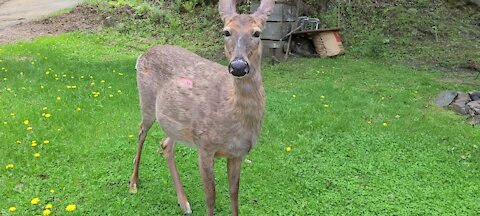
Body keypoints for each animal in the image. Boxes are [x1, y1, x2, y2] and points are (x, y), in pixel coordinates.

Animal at [129, 0, 276, 214]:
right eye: (226, 32)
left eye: (257, 33)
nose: (238, 66)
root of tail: (142, 54)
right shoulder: (205, 145)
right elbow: (211, 197)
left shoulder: (238, 153)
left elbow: (234, 195)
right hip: (146, 102)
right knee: (141, 133)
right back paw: (133, 183)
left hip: (176, 123)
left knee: (165, 144)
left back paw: (184, 203)